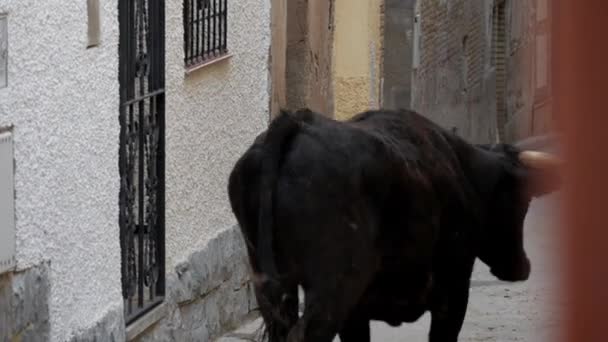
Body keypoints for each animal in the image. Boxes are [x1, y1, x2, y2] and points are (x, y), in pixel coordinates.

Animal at [228, 109, 560, 342]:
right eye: (521, 201)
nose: (522, 267)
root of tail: (296, 124)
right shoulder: (453, 289)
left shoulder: (357, 312)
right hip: (334, 287)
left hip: (270, 283)